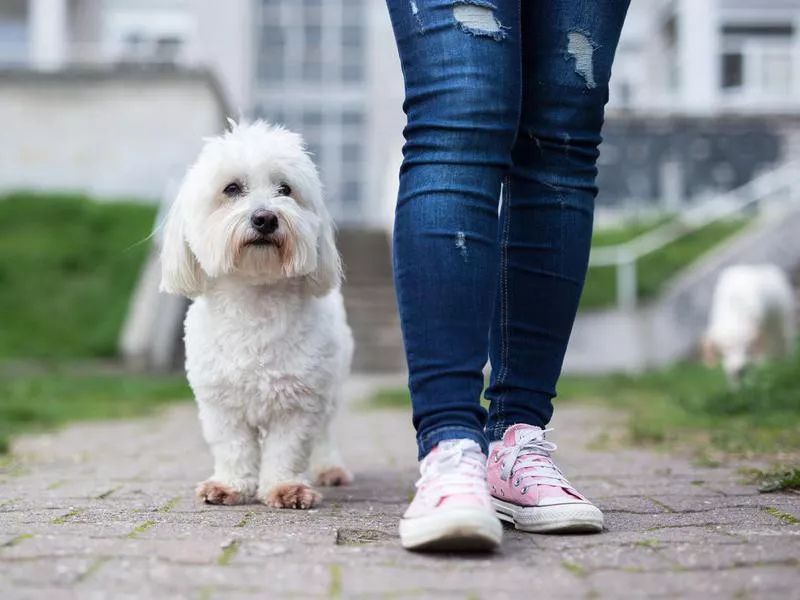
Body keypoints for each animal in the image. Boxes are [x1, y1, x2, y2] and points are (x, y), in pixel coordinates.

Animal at [159, 119, 354, 508]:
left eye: (285, 189)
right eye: (232, 188)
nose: (265, 218)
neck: (255, 298)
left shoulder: (300, 402)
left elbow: (286, 450)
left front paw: (285, 488)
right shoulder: (221, 403)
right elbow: (233, 447)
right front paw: (229, 486)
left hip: (331, 387)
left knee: (325, 432)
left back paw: (330, 468)